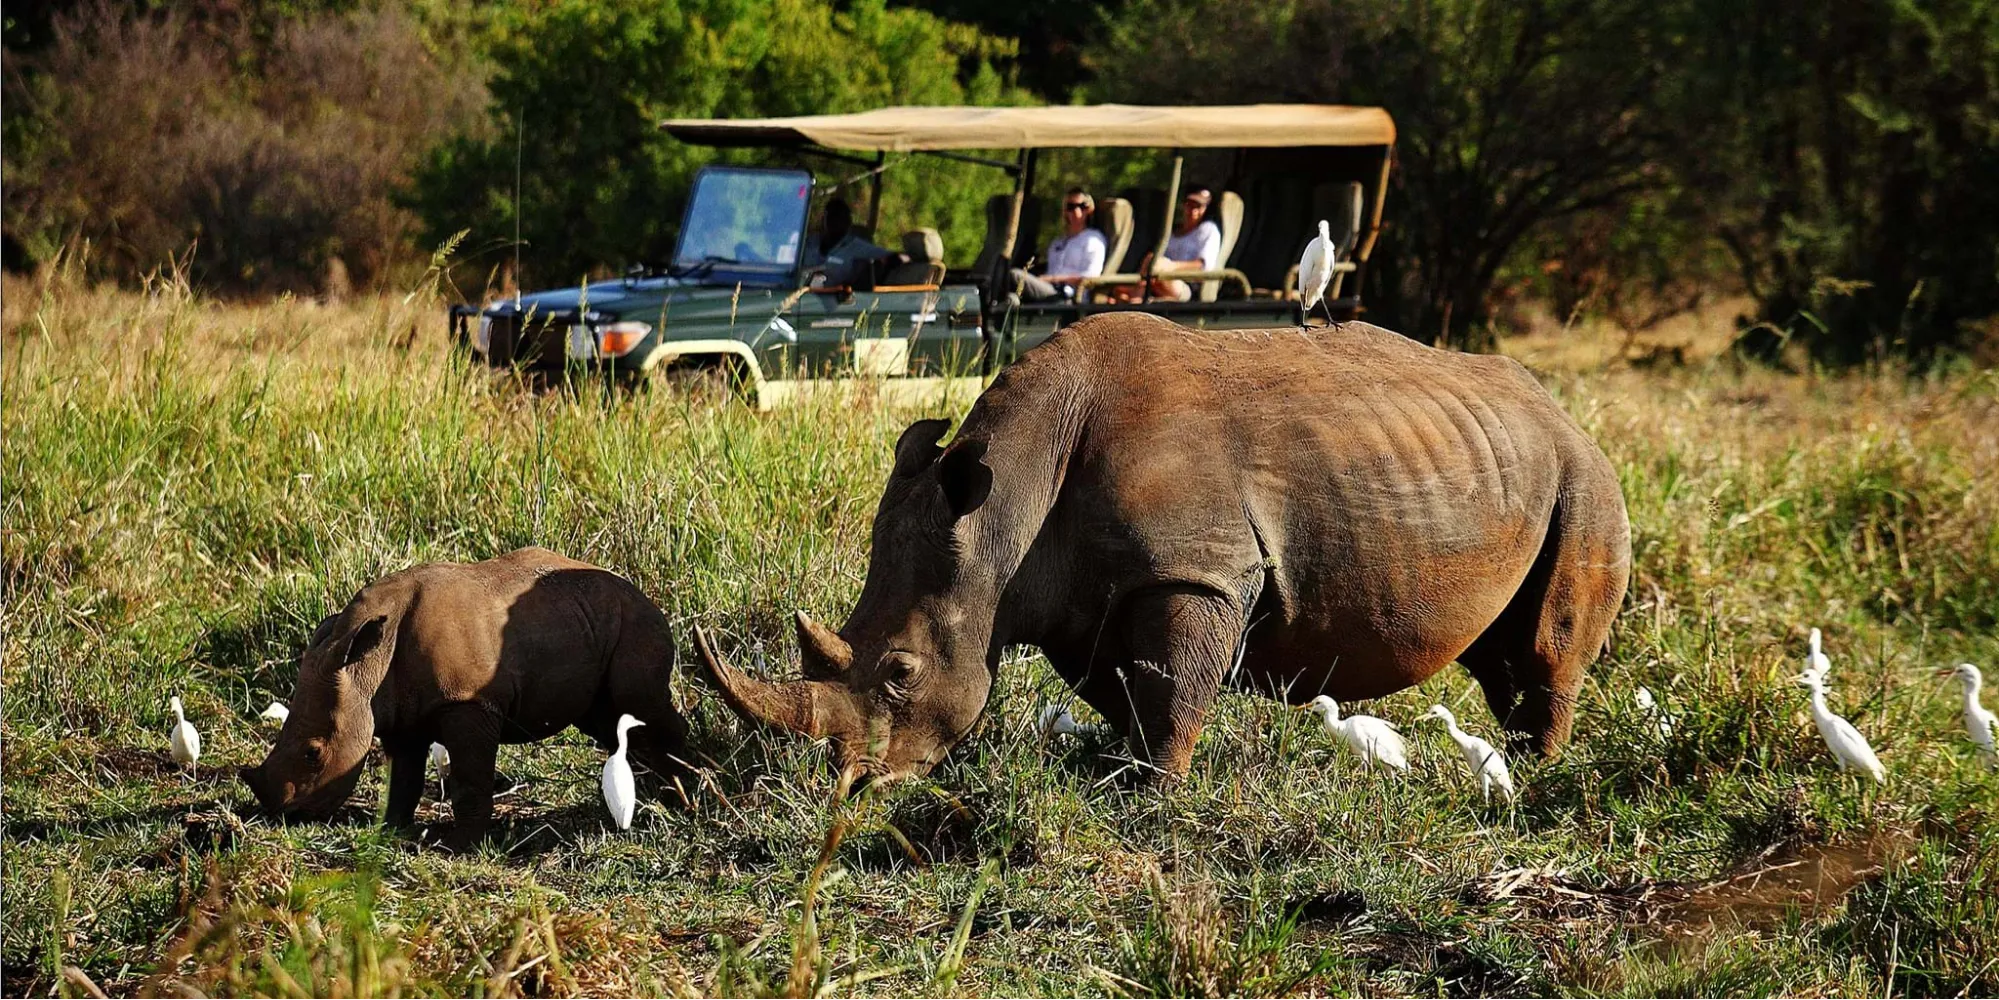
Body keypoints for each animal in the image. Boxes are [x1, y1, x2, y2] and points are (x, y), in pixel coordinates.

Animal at [243, 548, 687, 852]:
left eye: (313, 753)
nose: (281, 813)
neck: (366, 662)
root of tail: (645, 595)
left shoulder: (467, 702)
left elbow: (470, 779)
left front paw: (460, 847)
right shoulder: (400, 711)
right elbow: (404, 777)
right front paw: (392, 829)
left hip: (636, 622)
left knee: (639, 705)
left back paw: (686, 799)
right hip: (584, 621)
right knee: (609, 722)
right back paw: (666, 798)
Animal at [695, 316, 1631, 784]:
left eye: (899, 671)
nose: (850, 785)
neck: (1005, 507)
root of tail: (1557, 406)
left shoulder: (1196, 571)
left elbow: (1175, 687)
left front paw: (1157, 794)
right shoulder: (1080, 596)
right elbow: (1126, 690)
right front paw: (1122, 769)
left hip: (1585, 477)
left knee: (1544, 645)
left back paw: (1538, 774)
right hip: (1501, 462)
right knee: (1498, 652)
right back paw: (1519, 760)